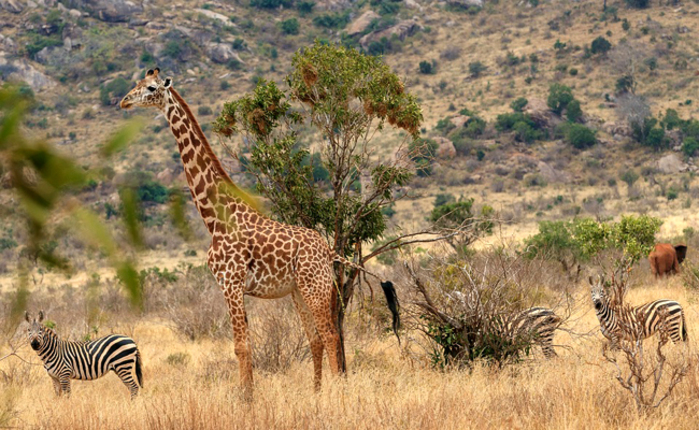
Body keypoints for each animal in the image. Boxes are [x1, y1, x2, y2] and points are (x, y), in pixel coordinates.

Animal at [120, 68, 400, 400]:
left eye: (150, 88)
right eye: (136, 83)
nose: (124, 101)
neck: (215, 218)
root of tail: (329, 250)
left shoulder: (230, 282)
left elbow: (241, 346)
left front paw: (245, 400)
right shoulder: (234, 286)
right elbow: (246, 345)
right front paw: (249, 395)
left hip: (315, 287)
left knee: (332, 335)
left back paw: (335, 393)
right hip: (298, 291)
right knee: (316, 338)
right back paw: (316, 394)